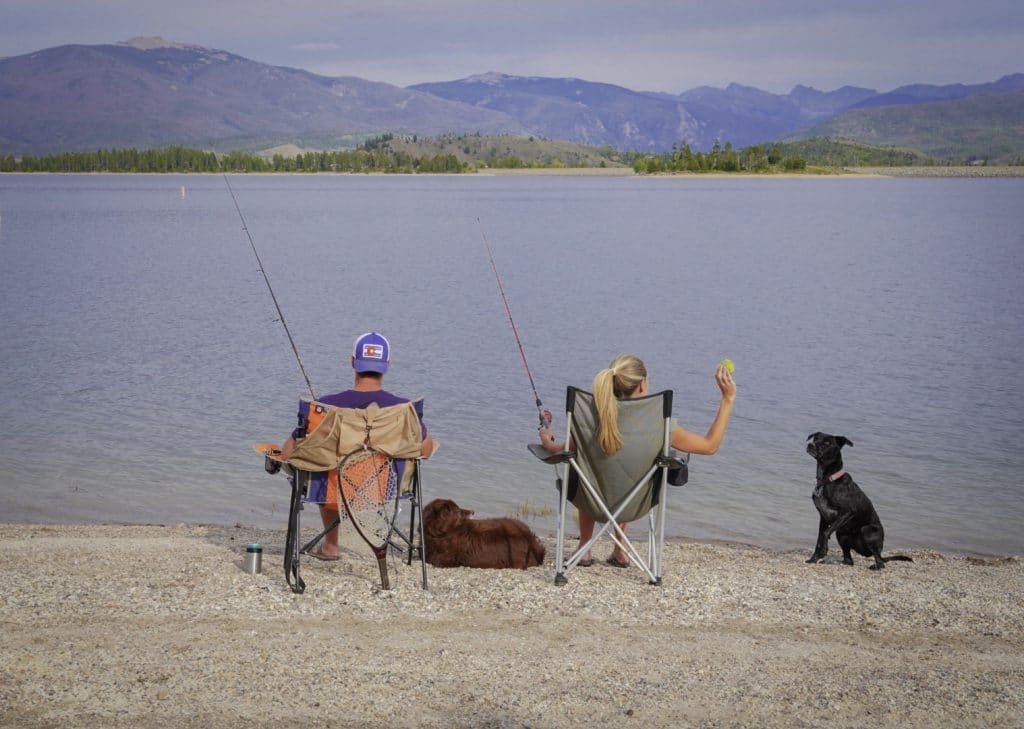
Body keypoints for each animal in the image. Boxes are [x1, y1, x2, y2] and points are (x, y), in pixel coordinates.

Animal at [806, 432, 913, 569]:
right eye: (815, 439)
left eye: (827, 443)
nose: (810, 445)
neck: (828, 480)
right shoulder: (823, 517)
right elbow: (819, 538)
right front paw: (814, 559)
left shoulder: (848, 511)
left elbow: (825, 533)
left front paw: (823, 551)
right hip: (841, 533)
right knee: (849, 560)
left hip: (867, 530)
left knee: (880, 561)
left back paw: (876, 567)